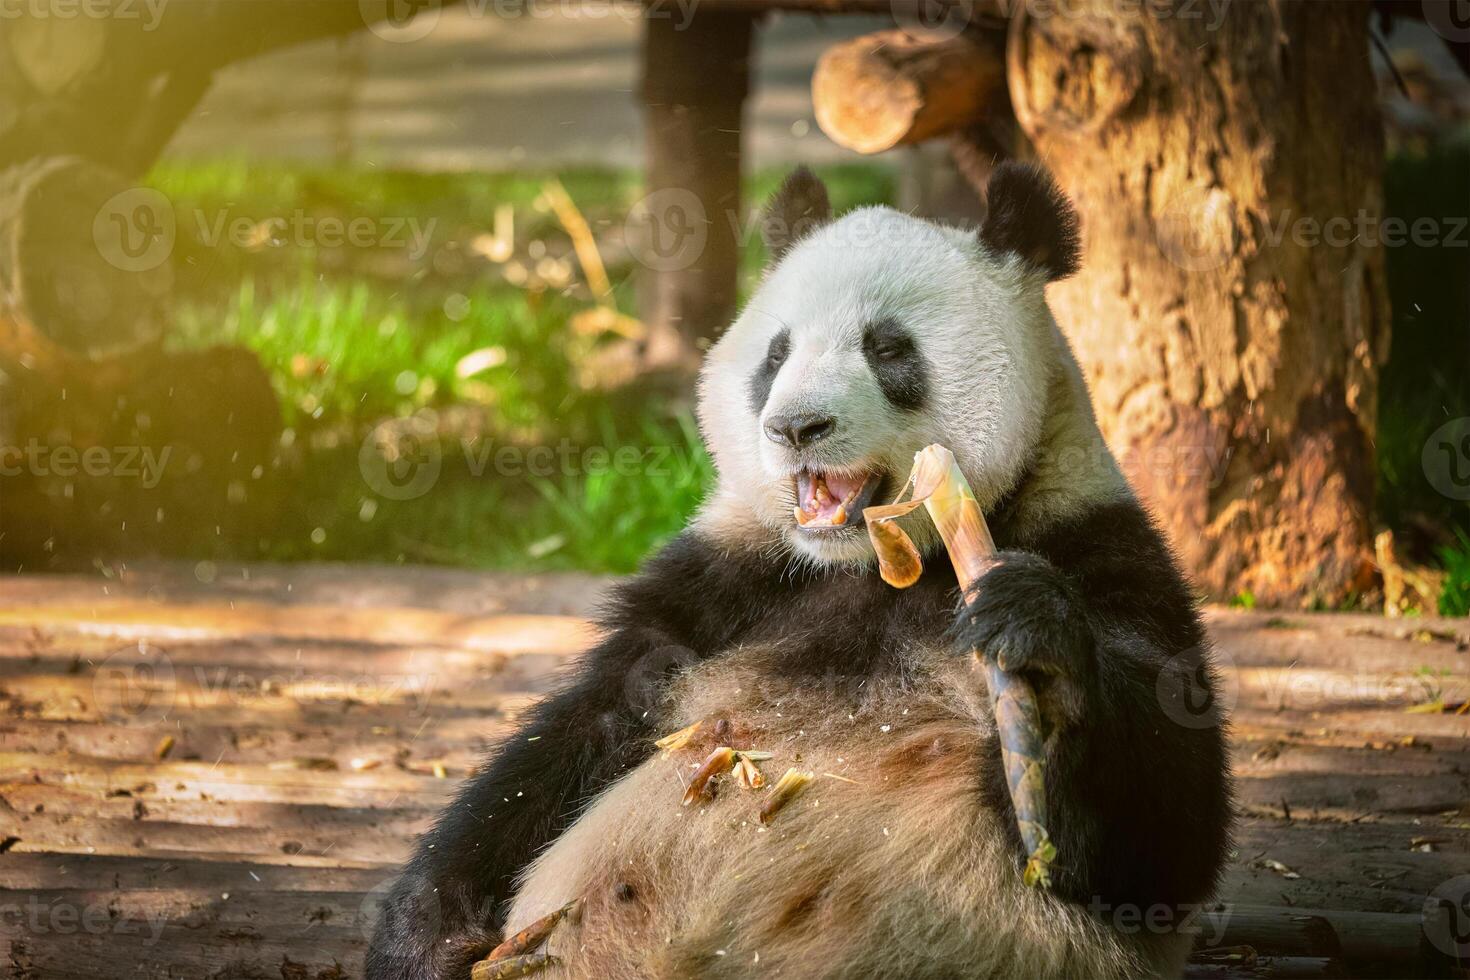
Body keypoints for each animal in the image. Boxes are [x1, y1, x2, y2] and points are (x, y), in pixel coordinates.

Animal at [364, 163, 1228, 980]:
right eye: (776, 354)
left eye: (889, 349)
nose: (795, 426)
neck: (875, 566)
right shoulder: (730, 580)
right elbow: (583, 729)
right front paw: (421, 932)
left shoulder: (1101, 549)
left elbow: (1161, 838)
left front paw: (1031, 647)